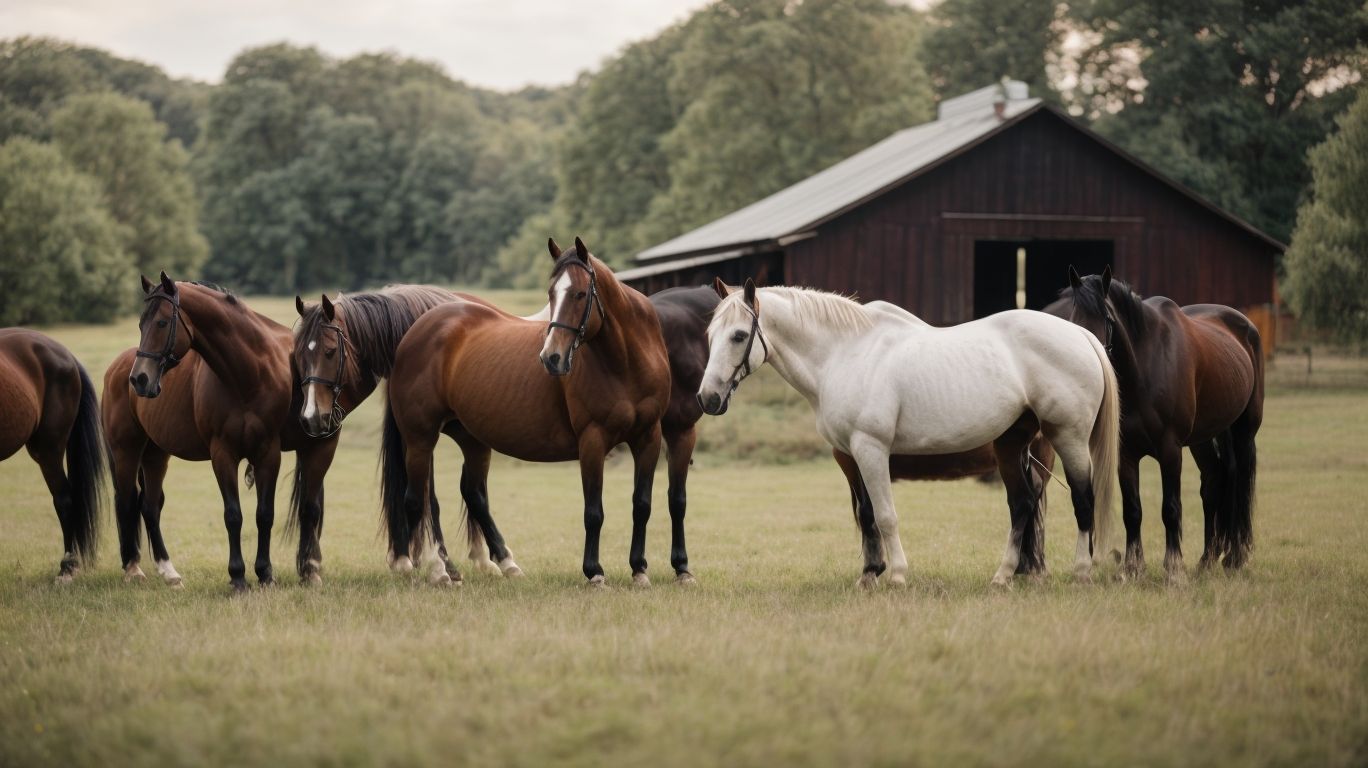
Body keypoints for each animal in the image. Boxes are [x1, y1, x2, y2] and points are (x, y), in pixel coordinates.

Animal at [103, 273, 337, 591]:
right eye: (141, 324)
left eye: (161, 322)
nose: (140, 379)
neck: (248, 376)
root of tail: (116, 367)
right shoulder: (223, 455)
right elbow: (233, 515)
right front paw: (238, 577)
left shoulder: (267, 454)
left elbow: (264, 515)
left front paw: (265, 574)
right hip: (126, 452)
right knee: (126, 502)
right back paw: (133, 569)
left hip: (155, 455)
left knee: (149, 507)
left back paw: (168, 572)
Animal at [379, 237, 671, 586]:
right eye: (551, 293)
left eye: (580, 294)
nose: (551, 357)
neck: (625, 363)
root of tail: (414, 333)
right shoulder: (592, 441)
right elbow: (593, 511)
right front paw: (594, 573)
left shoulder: (648, 438)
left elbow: (642, 505)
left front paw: (639, 570)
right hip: (420, 437)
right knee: (416, 500)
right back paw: (430, 569)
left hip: (472, 438)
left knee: (473, 495)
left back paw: (506, 564)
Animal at [697, 280, 1118, 588]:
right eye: (710, 335)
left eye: (738, 335)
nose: (707, 398)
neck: (845, 353)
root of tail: (1081, 335)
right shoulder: (852, 455)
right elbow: (868, 514)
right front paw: (870, 575)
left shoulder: (870, 449)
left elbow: (886, 516)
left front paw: (897, 575)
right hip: (1011, 445)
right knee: (1022, 505)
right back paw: (1002, 577)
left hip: (1069, 438)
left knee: (1083, 500)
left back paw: (1081, 572)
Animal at [1045, 267, 1263, 581]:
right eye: (1073, 320)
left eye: (1107, 318)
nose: (1089, 362)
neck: (1145, 369)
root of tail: (1244, 325)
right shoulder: (1126, 454)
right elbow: (1132, 510)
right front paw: (1133, 568)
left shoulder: (1170, 450)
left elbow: (1170, 508)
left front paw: (1173, 568)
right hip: (1203, 439)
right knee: (1213, 483)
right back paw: (1207, 559)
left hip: (1244, 432)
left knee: (1240, 487)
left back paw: (1235, 556)